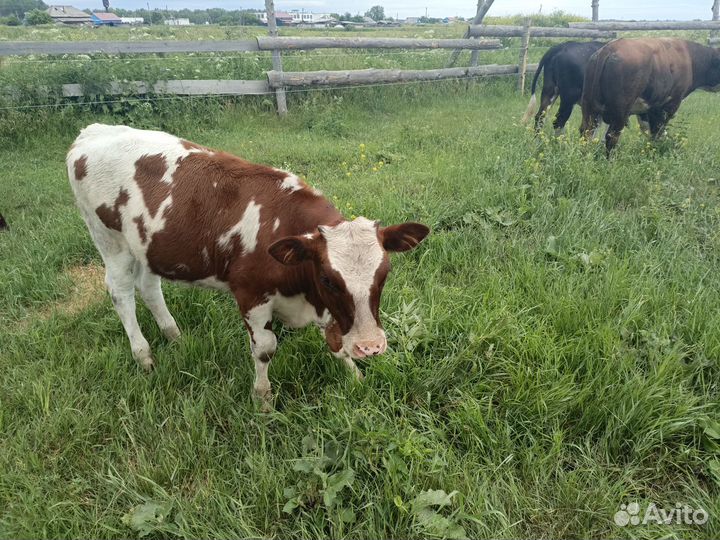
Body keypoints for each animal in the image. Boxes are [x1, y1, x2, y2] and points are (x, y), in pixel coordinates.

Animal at [67, 124, 429, 410]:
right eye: (328, 279)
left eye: (384, 275)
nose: (371, 347)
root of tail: (93, 131)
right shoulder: (250, 294)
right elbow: (265, 350)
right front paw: (263, 399)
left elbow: (335, 339)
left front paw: (355, 377)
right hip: (110, 242)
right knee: (121, 293)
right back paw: (143, 354)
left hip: (146, 245)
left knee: (149, 286)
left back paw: (174, 336)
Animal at [580, 38, 720, 155]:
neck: (691, 58)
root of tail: (608, 49)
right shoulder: (669, 105)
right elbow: (658, 132)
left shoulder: (647, 109)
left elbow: (649, 131)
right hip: (621, 110)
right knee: (611, 135)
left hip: (589, 107)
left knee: (586, 132)